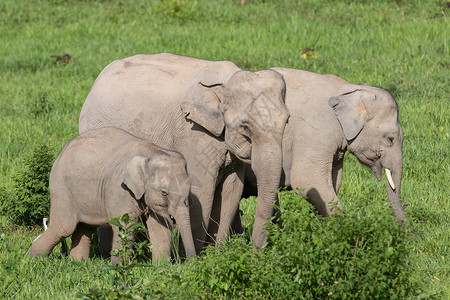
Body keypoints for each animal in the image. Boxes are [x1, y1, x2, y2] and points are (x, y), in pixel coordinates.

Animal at [27, 126, 196, 262]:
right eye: (164, 192)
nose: (191, 263)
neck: (152, 152)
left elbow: (160, 228)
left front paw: (161, 267)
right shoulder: (119, 189)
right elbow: (125, 225)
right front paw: (119, 266)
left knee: (84, 227)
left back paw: (77, 262)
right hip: (61, 187)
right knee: (64, 227)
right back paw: (32, 260)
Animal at [77, 52, 288, 250]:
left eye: (287, 121)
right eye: (245, 126)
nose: (256, 252)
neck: (227, 80)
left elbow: (231, 192)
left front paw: (215, 255)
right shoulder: (193, 134)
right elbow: (201, 194)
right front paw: (193, 259)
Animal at [243, 67, 408, 223]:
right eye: (390, 139)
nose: (410, 232)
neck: (349, 89)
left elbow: (334, 180)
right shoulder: (316, 131)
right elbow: (306, 178)